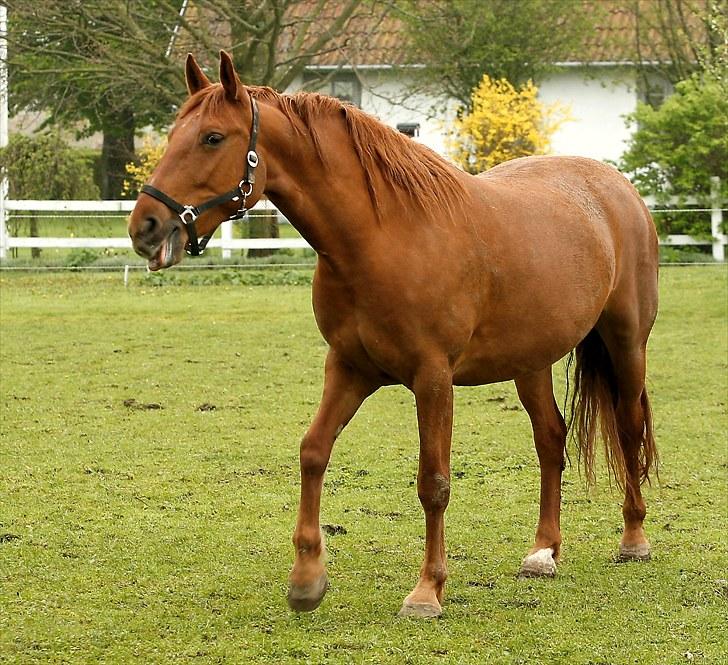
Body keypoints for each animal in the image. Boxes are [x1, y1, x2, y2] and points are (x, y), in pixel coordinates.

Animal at [128, 54, 656, 620]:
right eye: (172, 134)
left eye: (211, 138)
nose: (146, 227)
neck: (382, 238)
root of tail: (616, 186)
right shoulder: (348, 367)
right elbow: (313, 452)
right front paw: (307, 580)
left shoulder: (433, 378)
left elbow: (434, 483)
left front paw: (427, 591)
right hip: (530, 361)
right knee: (551, 439)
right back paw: (543, 552)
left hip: (626, 344)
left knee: (628, 429)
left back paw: (633, 540)